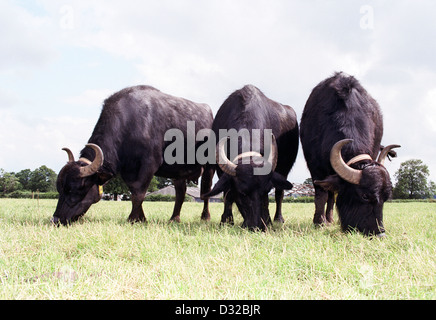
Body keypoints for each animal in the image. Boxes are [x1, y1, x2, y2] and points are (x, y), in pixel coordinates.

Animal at [51, 85, 213, 225]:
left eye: (76, 189)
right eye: (59, 188)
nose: (56, 219)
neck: (130, 123)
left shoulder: (150, 163)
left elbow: (139, 192)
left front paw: (133, 218)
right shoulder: (127, 170)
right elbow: (134, 191)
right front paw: (140, 218)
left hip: (209, 167)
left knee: (206, 189)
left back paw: (205, 216)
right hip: (177, 171)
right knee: (180, 192)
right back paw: (174, 218)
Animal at [202, 85, 300, 230]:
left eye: (266, 191)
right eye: (242, 193)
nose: (258, 225)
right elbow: (228, 194)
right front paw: (226, 220)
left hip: (285, 167)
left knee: (279, 194)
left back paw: (278, 218)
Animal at [300, 73, 398, 238]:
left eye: (386, 198)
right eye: (365, 196)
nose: (380, 234)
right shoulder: (315, 167)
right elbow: (321, 196)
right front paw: (318, 223)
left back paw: (330, 219)